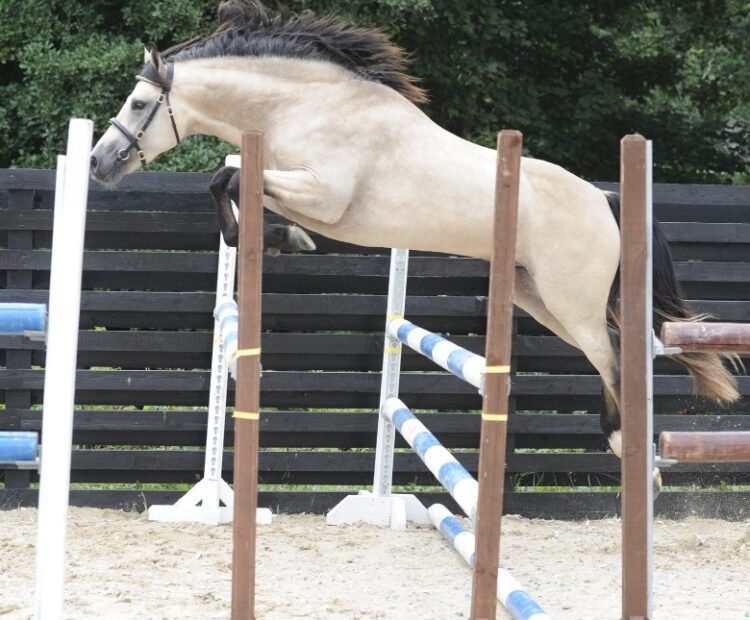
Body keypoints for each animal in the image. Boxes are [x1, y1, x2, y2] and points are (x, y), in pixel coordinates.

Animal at [89, 0, 739, 467]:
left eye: (140, 102)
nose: (99, 162)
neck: (303, 105)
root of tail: (605, 200)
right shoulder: (300, 193)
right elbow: (227, 185)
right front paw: (282, 239)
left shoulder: (322, 194)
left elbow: (225, 178)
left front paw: (285, 240)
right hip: (537, 297)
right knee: (619, 351)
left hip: (570, 303)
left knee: (615, 358)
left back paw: (627, 446)